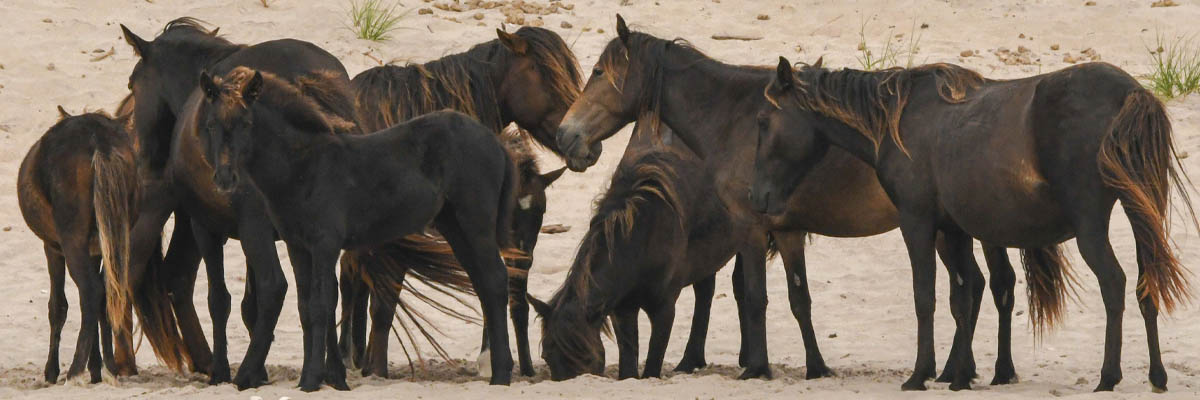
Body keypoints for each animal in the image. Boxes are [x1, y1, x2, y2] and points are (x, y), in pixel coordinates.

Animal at [195, 66, 516, 389]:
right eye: (211, 124)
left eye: (246, 123)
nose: (225, 178)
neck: (303, 168)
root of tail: (495, 141)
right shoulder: (297, 246)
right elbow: (304, 308)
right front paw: (316, 379)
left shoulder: (325, 244)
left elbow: (320, 305)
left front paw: (312, 380)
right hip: (455, 227)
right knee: (483, 284)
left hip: (476, 224)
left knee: (495, 281)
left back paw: (501, 374)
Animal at [753, 57, 1195, 391]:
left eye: (764, 121)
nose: (758, 198)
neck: (901, 121)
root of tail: (1131, 92)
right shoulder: (954, 230)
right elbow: (962, 297)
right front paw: (960, 376)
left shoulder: (917, 223)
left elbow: (926, 297)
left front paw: (920, 375)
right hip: (1143, 213)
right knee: (1146, 281)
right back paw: (1157, 376)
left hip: (1091, 228)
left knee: (1115, 284)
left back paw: (1108, 376)